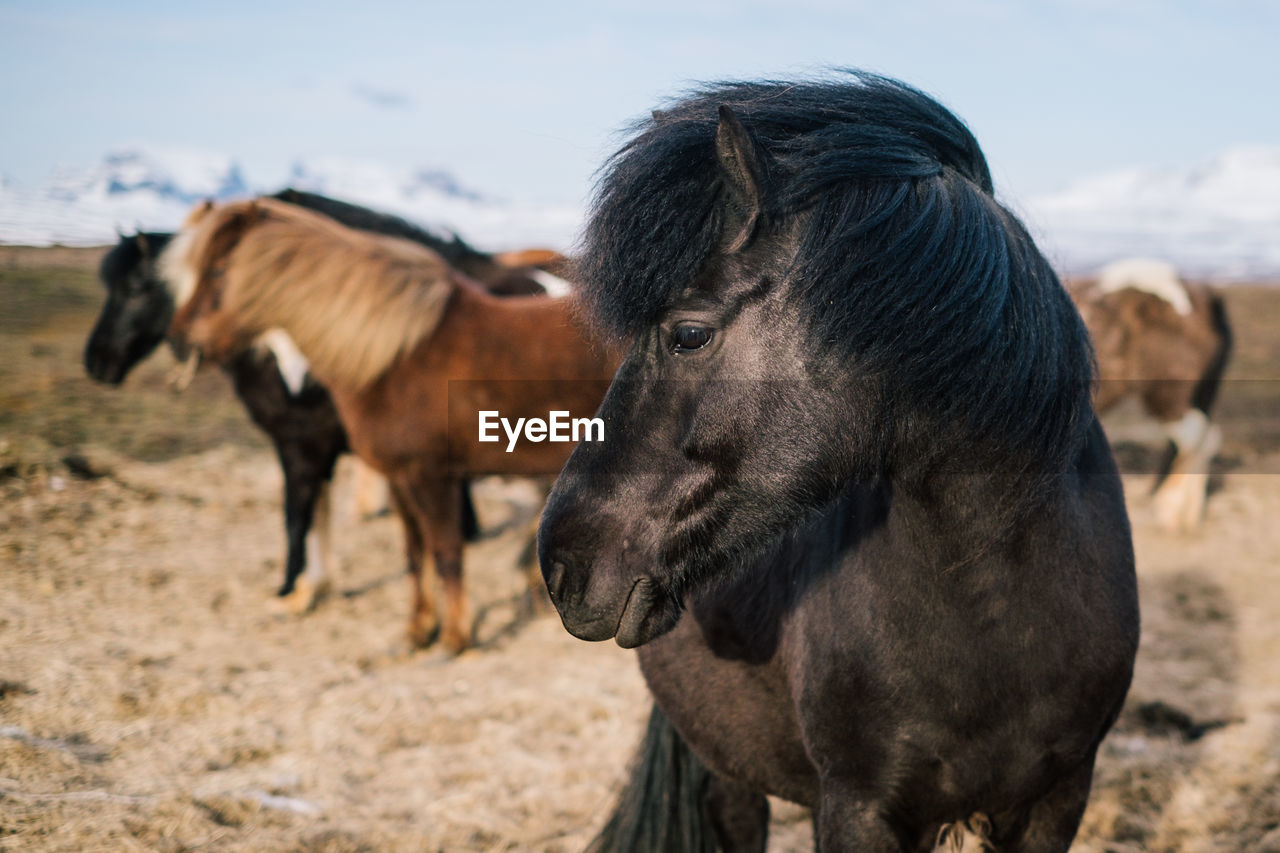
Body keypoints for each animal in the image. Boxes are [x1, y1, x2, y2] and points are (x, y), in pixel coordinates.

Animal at [85, 188, 565, 612]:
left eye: (138, 286)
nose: (96, 361)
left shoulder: (302, 444)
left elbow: (297, 516)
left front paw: (291, 589)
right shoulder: (320, 447)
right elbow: (317, 513)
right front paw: (313, 587)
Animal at [162, 199, 616, 650]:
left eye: (217, 271)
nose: (179, 340)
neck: (396, 356)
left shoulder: (432, 477)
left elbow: (446, 553)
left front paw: (455, 638)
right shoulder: (400, 478)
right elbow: (415, 555)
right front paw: (418, 631)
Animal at [535, 74, 1136, 850]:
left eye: (688, 334)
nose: (560, 564)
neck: (1001, 615)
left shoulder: (1058, 799)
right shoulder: (859, 807)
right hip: (729, 774)